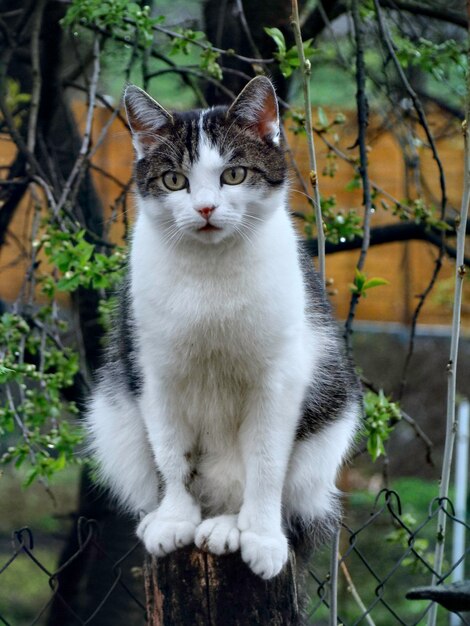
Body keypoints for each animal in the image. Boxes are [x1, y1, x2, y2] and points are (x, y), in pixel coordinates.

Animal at [86, 75, 362, 576]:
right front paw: (174, 518)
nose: (206, 209)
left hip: (331, 421)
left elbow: (267, 463)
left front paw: (262, 536)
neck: (211, 278)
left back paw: (227, 527)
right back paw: (178, 518)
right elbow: (171, 456)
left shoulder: (280, 378)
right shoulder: (154, 375)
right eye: (174, 180)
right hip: (111, 414)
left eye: (233, 175)